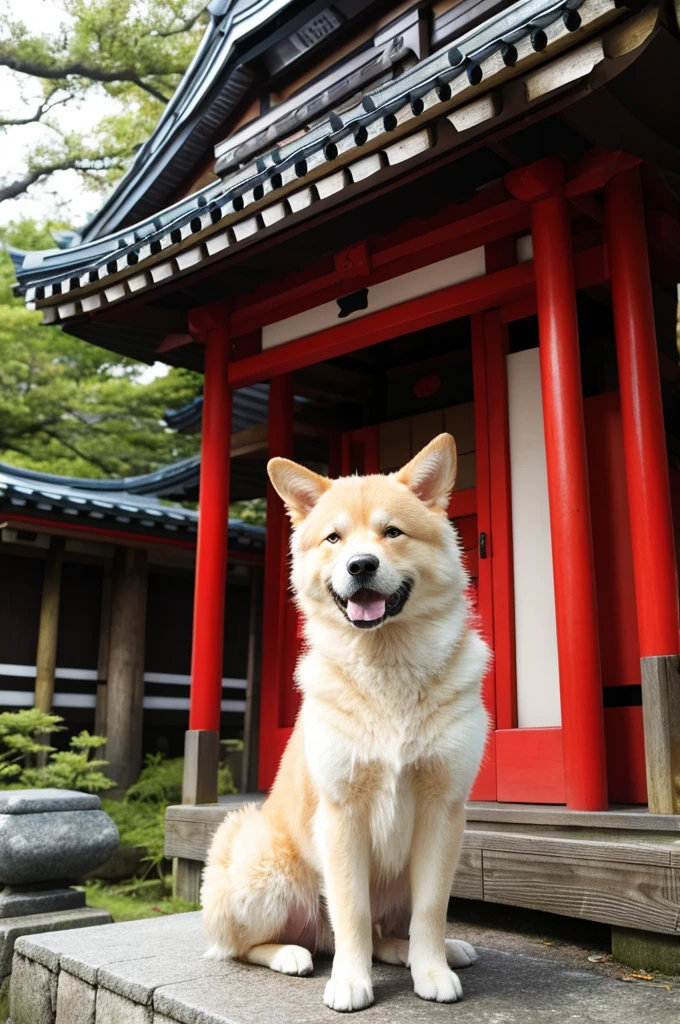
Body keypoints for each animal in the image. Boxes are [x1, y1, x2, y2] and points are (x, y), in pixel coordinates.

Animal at [200, 430, 489, 1007]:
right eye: (334, 538)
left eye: (392, 532)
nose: (361, 565)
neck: (389, 670)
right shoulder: (341, 814)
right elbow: (351, 909)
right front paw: (351, 982)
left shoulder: (442, 808)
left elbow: (431, 909)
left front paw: (431, 968)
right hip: (262, 860)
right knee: (246, 945)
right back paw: (292, 955)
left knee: (384, 932)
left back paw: (421, 951)